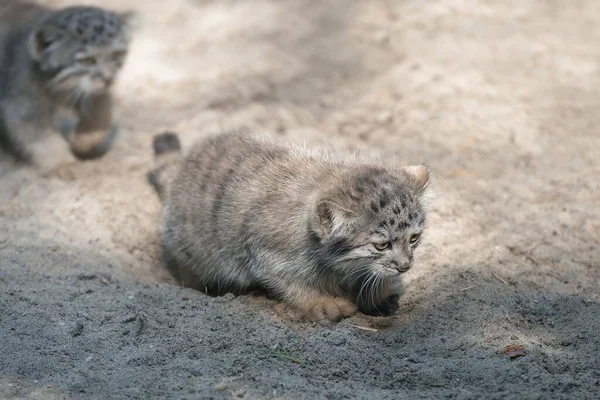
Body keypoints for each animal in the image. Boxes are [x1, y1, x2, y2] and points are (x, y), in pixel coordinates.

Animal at [0, 0, 132, 162]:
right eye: (87, 61)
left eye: (116, 55)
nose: (109, 79)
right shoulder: (20, 104)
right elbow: (41, 137)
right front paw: (63, 163)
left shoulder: (88, 89)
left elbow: (100, 107)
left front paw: (85, 139)